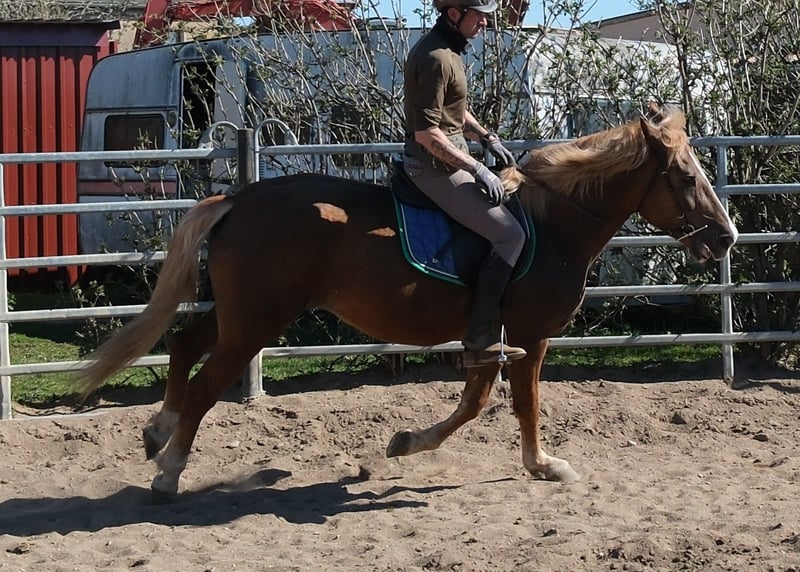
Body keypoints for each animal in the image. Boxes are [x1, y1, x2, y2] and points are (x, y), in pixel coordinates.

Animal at [76, 104, 737, 495]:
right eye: (684, 177)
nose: (727, 237)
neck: (551, 226)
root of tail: (241, 197)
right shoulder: (528, 335)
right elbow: (519, 403)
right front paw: (542, 465)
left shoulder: (490, 340)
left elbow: (475, 402)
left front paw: (406, 444)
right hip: (255, 324)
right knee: (207, 384)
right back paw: (170, 470)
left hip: (241, 315)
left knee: (184, 343)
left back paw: (158, 434)